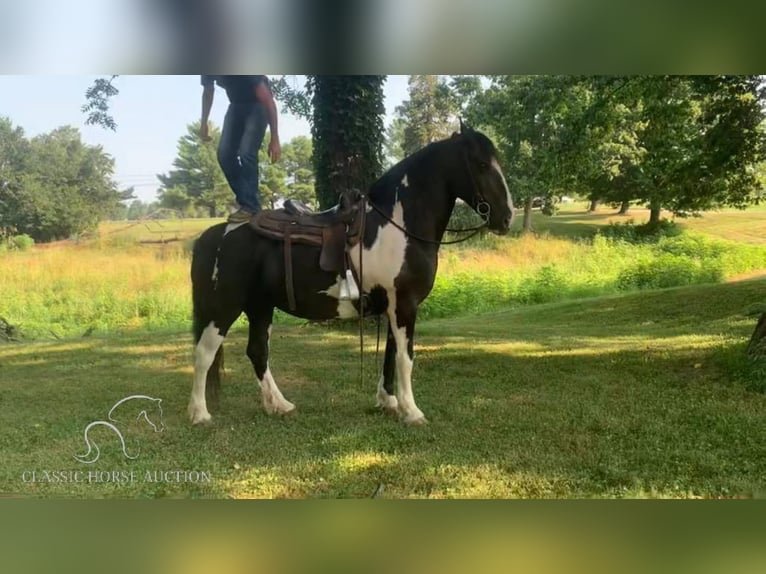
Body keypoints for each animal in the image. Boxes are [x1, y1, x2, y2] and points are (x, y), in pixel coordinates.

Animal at [188, 122, 512, 428]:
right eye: (481, 164)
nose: (506, 217)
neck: (397, 226)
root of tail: (213, 235)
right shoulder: (404, 305)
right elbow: (405, 358)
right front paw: (412, 412)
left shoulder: (394, 307)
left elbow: (391, 355)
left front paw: (388, 401)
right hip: (224, 308)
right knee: (204, 354)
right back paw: (200, 414)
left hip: (260, 307)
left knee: (257, 351)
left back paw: (279, 405)